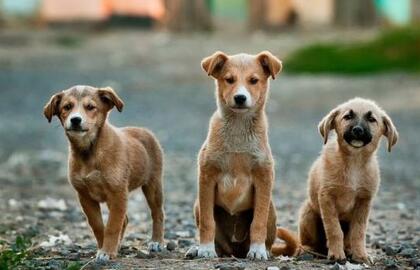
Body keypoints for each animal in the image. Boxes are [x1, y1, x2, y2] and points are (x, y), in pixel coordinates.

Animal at [43, 86, 165, 262]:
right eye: (67, 107)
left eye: (90, 107)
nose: (75, 120)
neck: (89, 151)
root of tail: (144, 130)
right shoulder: (85, 196)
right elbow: (98, 225)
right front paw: (104, 248)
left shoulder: (118, 193)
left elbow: (112, 225)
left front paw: (107, 251)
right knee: (125, 219)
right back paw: (119, 245)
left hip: (153, 185)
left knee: (157, 213)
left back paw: (157, 242)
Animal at [189, 50, 296, 260]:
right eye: (229, 79)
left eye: (253, 80)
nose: (240, 98)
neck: (238, 128)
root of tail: (235, 250)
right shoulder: (206, 176)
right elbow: (207, 221)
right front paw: (205, 249)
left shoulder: (263, 178)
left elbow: (258, 222)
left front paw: (257, 250)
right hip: (198, 204)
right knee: (218, 242)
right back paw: (200, 249)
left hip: (271, 208)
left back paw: (263, 250)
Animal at [278, 97, 398, 264]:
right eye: (348, 116)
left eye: (371, 119)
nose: (357, 130)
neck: (354, 162)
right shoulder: (327, 198)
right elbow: (334, 229)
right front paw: (336, 254)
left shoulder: (364, 201)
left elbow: (359, 231)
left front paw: (360, 254)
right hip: (308, 213)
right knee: (307, 243)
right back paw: (308, 250)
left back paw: (348, 250)